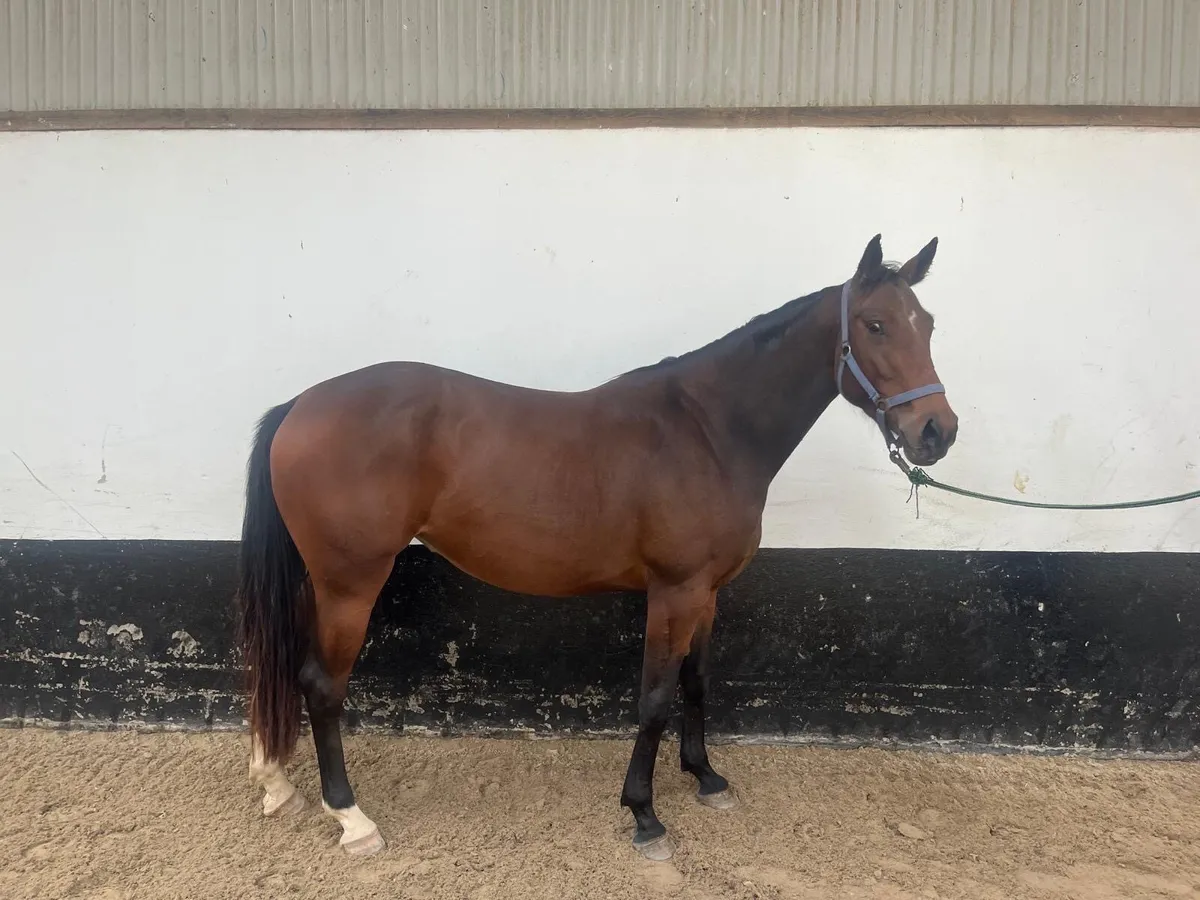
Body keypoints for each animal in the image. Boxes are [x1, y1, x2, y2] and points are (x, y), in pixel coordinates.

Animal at [236, 234, 958, 862]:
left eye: (926, 324)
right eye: (873, 324)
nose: (937, 432)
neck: (708, 432)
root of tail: (300, 405)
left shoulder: (707, 594)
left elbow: (696, 681)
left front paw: (706, 778)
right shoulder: (674, 591)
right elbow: (655, 698)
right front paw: (644, 814)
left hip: (316, 582)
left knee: (284, 670)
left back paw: (277, 784)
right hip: (350, 584)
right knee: (321, 684)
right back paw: (351, 817)